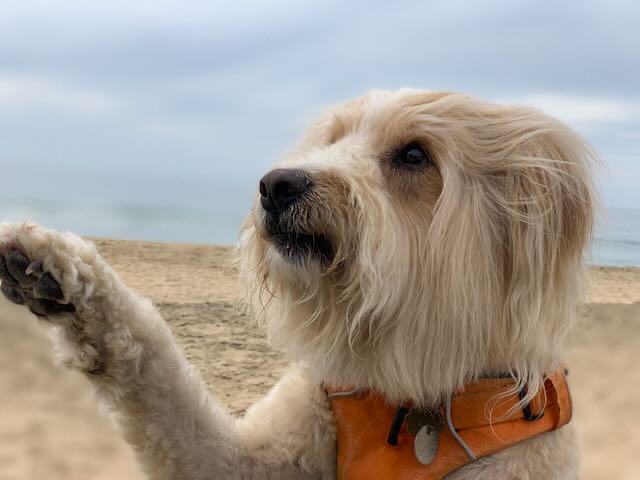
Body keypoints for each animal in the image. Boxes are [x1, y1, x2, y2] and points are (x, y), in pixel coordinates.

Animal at [0, 89, 596, 479]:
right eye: (332, 139)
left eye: (414, 154)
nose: (275, 184)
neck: (409, 384)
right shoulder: (252, 454)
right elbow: (157, 374)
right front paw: (58, 271)